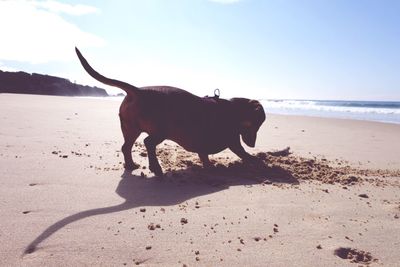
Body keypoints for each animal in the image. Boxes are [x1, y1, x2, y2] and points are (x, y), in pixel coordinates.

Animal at [76, 47, 268, 178]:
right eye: (258, 124)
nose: (253, 145)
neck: (234, 111)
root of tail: (138, 91)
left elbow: (205, 156)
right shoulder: (233, 141)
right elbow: (242, 153)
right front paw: (256, 161)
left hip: (131, 129)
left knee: (126, 147)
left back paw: (131, 165)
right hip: (161, 131)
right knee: (148, 143)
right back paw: (156, 169)